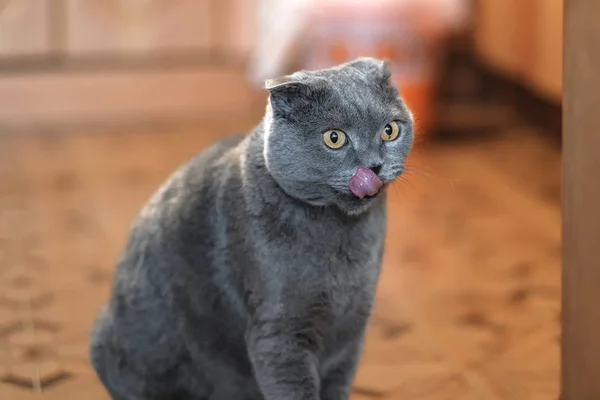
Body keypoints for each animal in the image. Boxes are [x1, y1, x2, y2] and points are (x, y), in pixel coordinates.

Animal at [89, 57, 414, 400]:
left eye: (390, 130)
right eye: (334, 138)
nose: (374, 166)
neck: (343, 237)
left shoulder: (352, 328)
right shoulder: (279, 330)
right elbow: (294, 389)